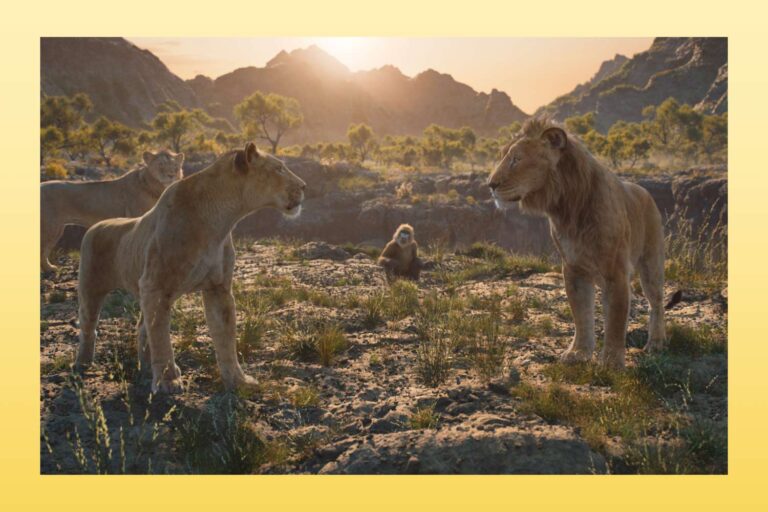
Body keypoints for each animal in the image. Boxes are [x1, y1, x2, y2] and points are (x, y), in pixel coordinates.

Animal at [40, 150, 183, 272]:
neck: (156, 187)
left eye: (175, 166)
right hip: (51, 228)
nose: (172, 175)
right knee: (42, 250)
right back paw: (50, 268)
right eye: (161, 165)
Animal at [75, 142, 306, 393]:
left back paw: (146, 368)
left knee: (142, 327)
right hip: (91, 287)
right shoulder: (156, 286)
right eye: (279, 168)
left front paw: (238, 380)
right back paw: (82, 363)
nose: (304, 186)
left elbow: (226, 337)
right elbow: (161, 336)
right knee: (89, 325)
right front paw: (167, 382)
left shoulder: (218, 287)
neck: (220, 221)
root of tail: (95, 226)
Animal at [488, 118, 666, 368]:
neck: (566, 207)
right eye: (505, 156)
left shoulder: (616, 272)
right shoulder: (573, 268)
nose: (490, 185)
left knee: (656, 302)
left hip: (651, 263)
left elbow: (616, 320)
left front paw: (611, 363)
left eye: (516, 159)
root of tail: (644, 190)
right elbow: (581, 314)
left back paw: (656, 343)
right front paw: (578, 353)